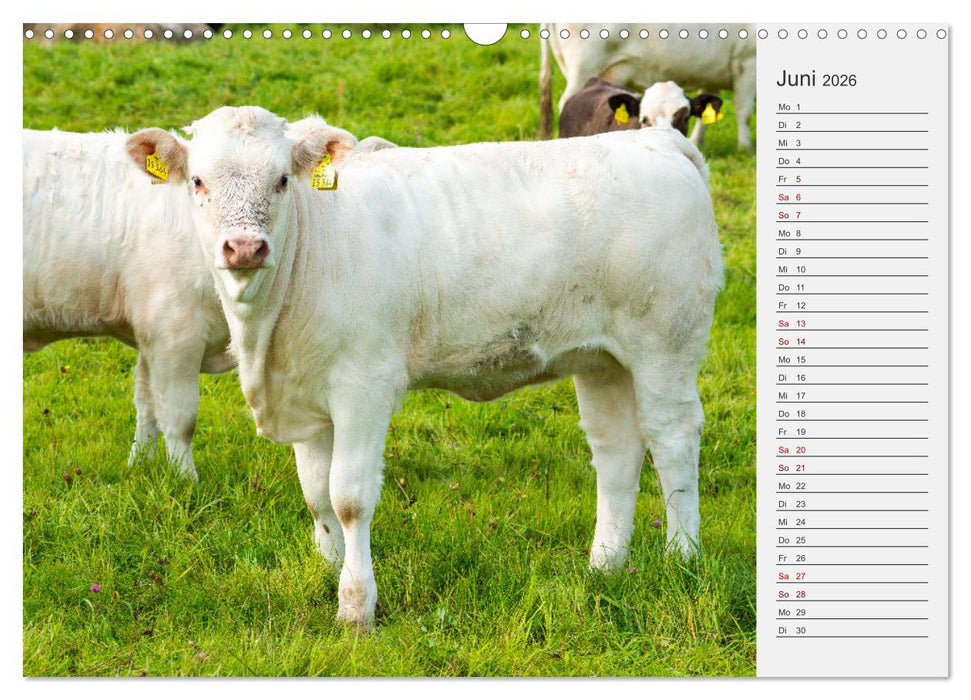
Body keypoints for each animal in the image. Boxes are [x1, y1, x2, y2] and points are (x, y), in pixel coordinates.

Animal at [23, 120, 374, 480]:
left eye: (283, 179)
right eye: (197, 180)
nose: (245, 247)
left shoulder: (152, 334)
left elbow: (146, 404)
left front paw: (140, 465)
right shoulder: (174, 333)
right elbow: (179, 418)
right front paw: (185, 480)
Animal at [125, 106, 722, 629]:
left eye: (281, 180)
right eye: (197, 181)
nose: (245, 247)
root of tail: (657, 142)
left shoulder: (363, 386)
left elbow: (348, 497)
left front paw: (355, 604)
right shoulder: (306, 392)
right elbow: (316, 493)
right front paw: (328, 570)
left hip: (665, 343)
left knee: (672, 439)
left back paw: (682, 559)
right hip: (602, 359)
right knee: (616, 449)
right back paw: (604, 568)